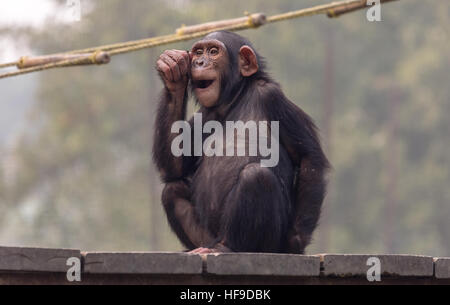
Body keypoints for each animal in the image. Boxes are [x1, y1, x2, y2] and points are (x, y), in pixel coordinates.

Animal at [153, 30, 328, 254]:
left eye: (213, 51)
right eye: (198, 52)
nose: (199, 62)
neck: (235, 99)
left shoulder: (272, 97)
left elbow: (308, 156)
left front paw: (295, 242)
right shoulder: (205, 115)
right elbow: (175, 165)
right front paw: (173, 69)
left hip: (267, 243)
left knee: (255, 176)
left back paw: (228, 247)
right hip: (208, 235)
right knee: (172, 190)